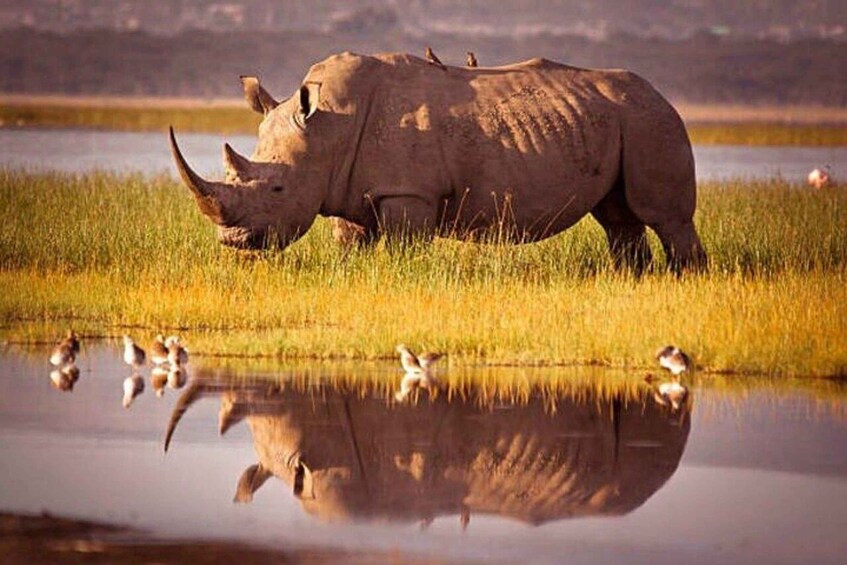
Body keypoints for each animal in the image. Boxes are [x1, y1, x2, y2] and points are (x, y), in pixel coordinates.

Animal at [170, 52, 707, 273]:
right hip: (621, 120)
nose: (234, 243)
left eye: (278, 190)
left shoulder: (409, 193)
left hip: (651, 120)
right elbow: (350, 244)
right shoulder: (347, 189)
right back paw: (631, 280)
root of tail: (661, 94)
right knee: (618, 219)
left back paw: (685, 279)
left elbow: (405, 249)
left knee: (666, 217)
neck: (327, 129)